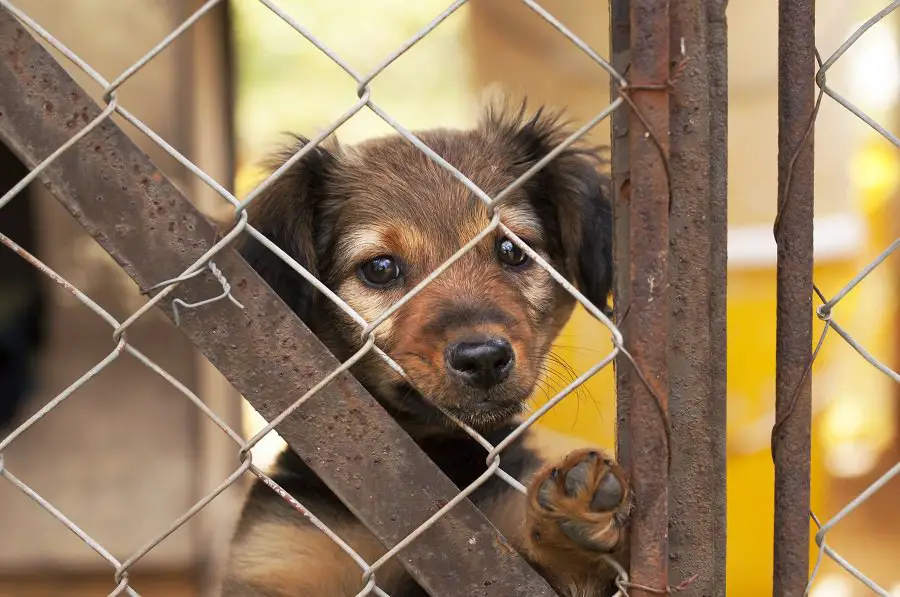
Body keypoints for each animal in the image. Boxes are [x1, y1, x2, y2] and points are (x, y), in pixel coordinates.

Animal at [223, 105, 632, 596]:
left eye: (512, 250)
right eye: (380, 268)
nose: (483, 358)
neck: (427, 455)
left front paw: (568, 529)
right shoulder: (280, 555)